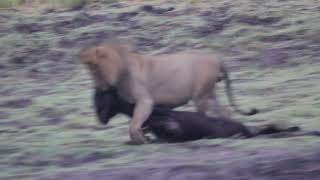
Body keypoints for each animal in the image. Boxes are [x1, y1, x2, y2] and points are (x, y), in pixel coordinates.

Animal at [80, 41, 258, 144]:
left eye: (94, 70)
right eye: (89, 71)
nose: (99, 87)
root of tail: (217, 58)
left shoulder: (145, 101)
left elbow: (134, 125)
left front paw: (141, 139)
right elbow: (140, 123)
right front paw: (145, 136)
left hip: (200, 96)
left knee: (206, 115)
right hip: (209, 94)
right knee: (225, 111)